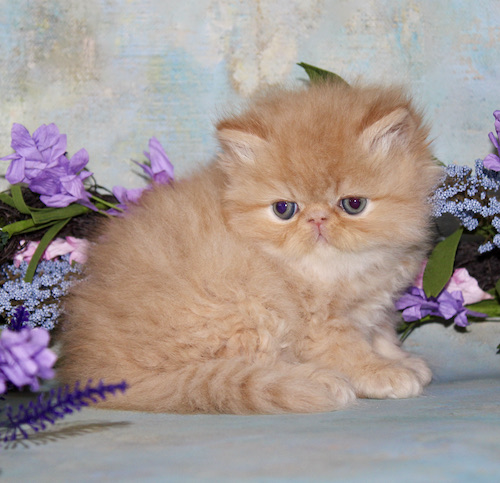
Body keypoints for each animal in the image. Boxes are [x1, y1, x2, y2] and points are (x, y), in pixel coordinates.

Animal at [59, 80, 441, 414]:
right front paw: (383, 373)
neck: (336, 269)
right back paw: (320, 381)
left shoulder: (376, 303)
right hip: (245, 310)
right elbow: (349, 351)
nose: (317, 219)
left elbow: (382, 334)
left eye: (353, 204)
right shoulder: (319, 325)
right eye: (284, 209)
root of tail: (102, 373)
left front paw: (401, 359)